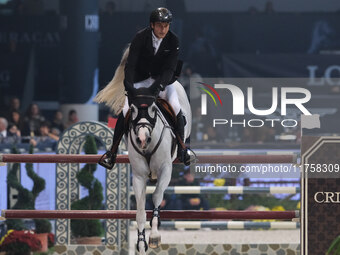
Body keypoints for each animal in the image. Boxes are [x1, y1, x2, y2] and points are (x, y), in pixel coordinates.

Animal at [93, 48, 191, 253]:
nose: (143, 138)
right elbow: (139, 209)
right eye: (133, 109)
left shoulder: (165, 170)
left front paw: (154, 236)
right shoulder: (138, 175)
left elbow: (156, 196)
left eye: (153, 109)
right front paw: (140, 242)